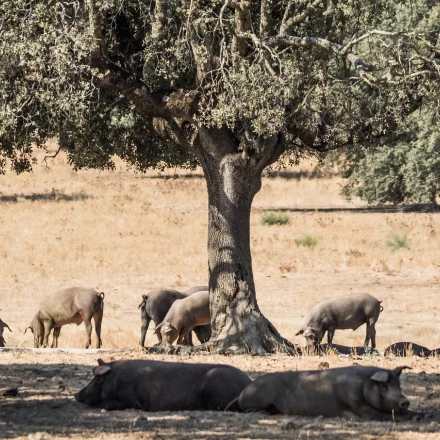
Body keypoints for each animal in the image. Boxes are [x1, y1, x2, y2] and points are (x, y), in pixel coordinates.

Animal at [225, 362, 424, 422]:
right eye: (384, 386)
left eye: (398, 384)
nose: (404, 401)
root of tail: (242, 393)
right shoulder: (358, 407)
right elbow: (384, 415)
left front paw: (421, 414)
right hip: (257, 400)